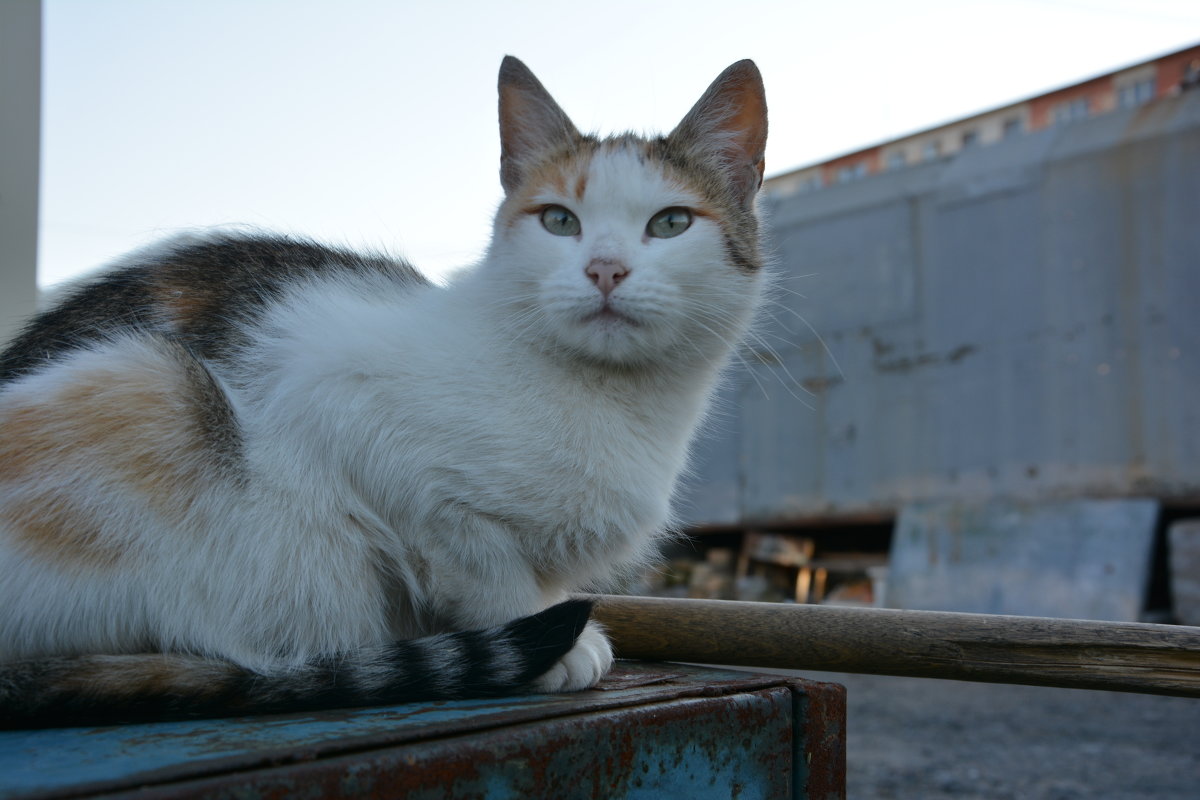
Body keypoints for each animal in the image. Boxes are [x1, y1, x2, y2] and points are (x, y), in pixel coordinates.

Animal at [0, 51, 768, 724]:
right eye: (559, 220)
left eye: (670, 222)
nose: (605, 269)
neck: (614, 401)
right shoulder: (346, 403)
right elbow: (481, 563)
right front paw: (551, 640)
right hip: (149, 384)